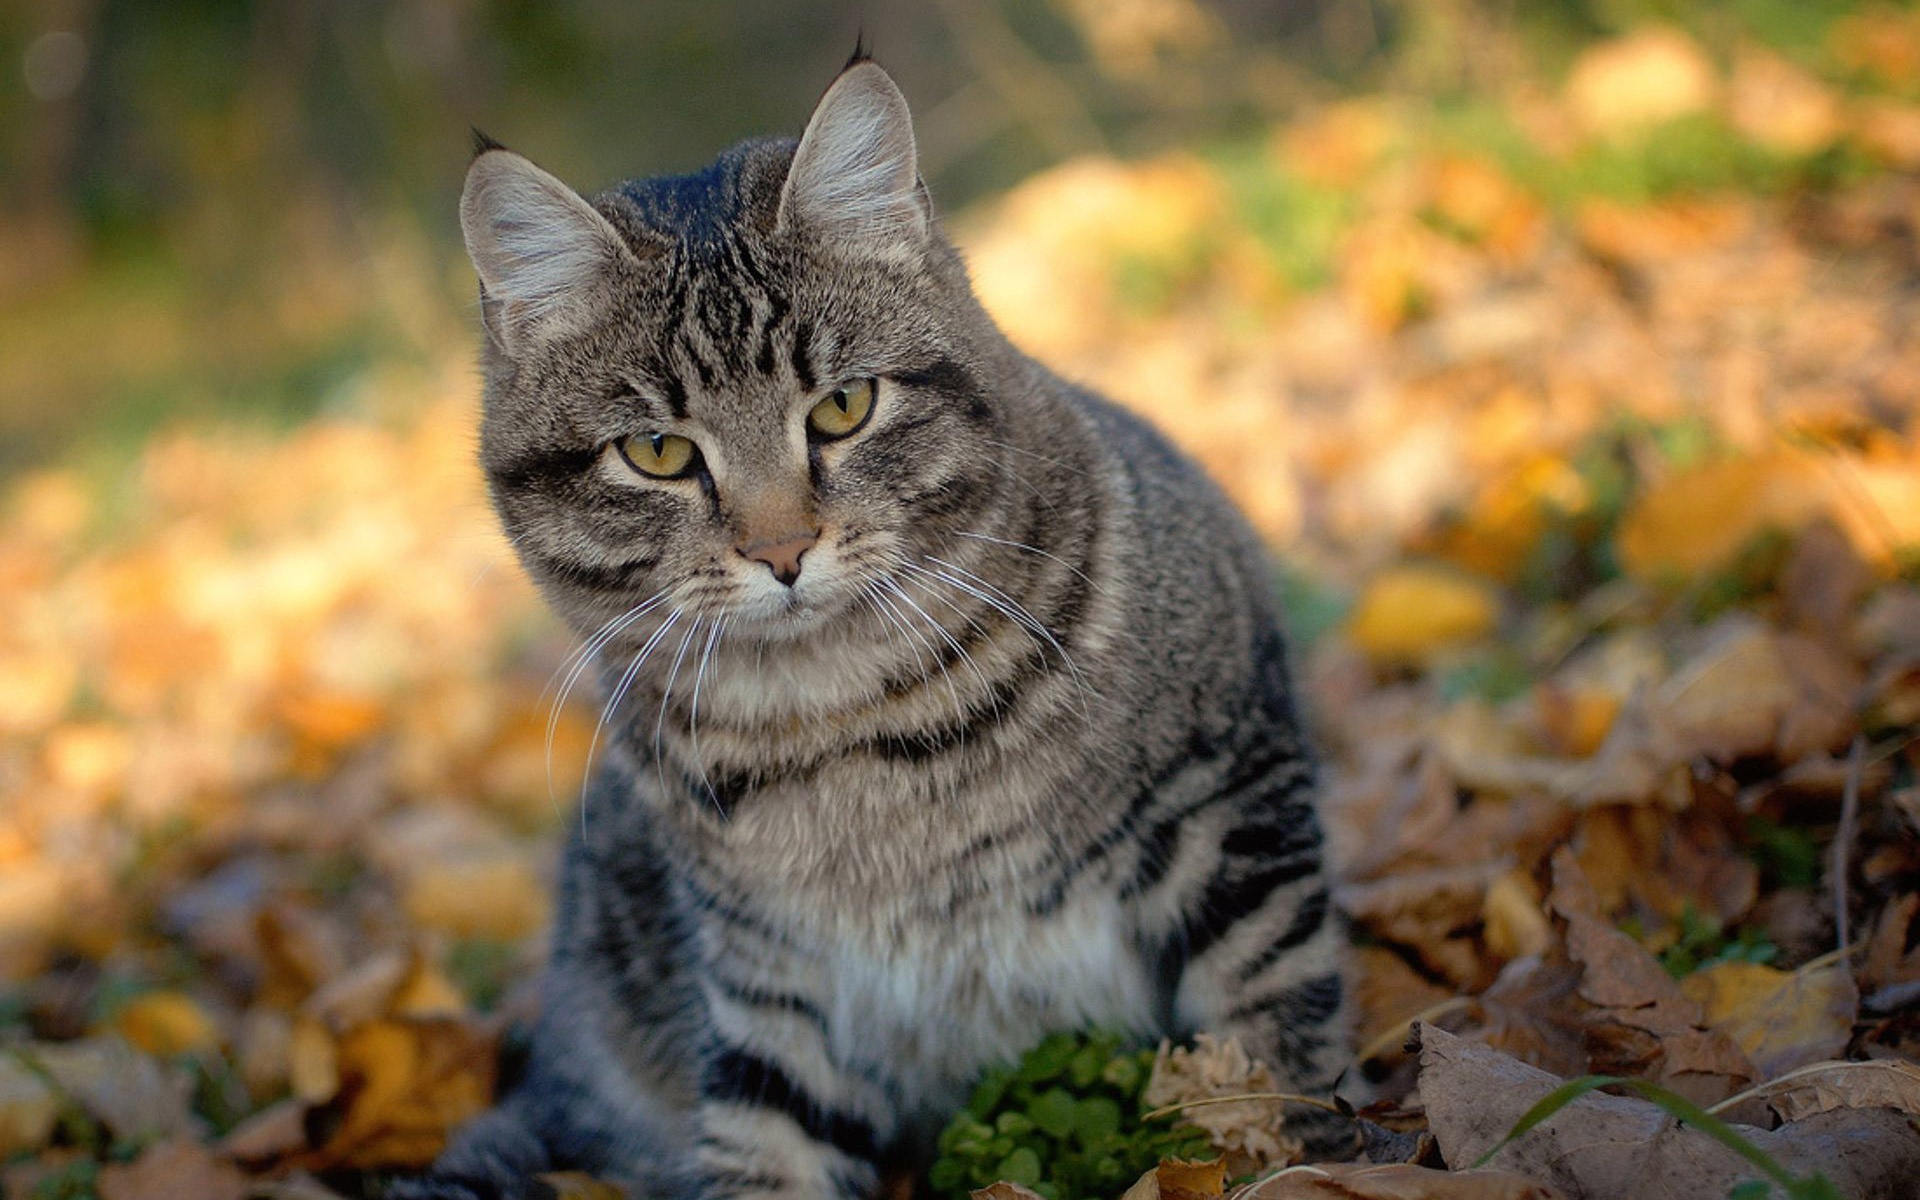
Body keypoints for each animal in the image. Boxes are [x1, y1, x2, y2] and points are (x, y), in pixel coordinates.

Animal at [393, 51, 1351, 1198]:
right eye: (658, 453)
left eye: (844, 407)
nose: (781, 550)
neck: (848, 723)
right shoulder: (769, 989)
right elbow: (769, 1155)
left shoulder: (1234, 804)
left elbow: (1271, 1054)